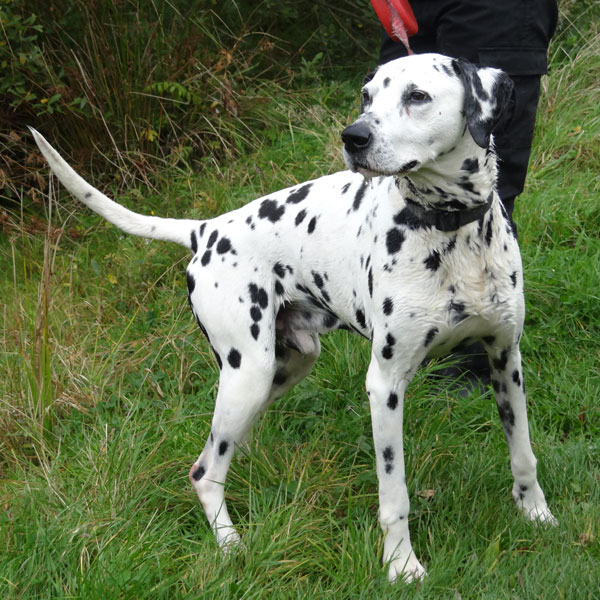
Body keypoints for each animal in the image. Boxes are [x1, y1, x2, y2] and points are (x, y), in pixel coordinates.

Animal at [29, 54, 556, 584]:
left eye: (417, 96)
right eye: (366, 95)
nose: (353, 136)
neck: (449, 232)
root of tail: (205, 230)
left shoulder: (505, 360)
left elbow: (524, 454)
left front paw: (537, 515)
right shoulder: (385, 386)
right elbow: (395, 495)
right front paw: (402, 566)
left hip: (280, 372)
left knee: (216, 453)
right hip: (248, 375)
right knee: (204, 472)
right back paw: (230, 545)